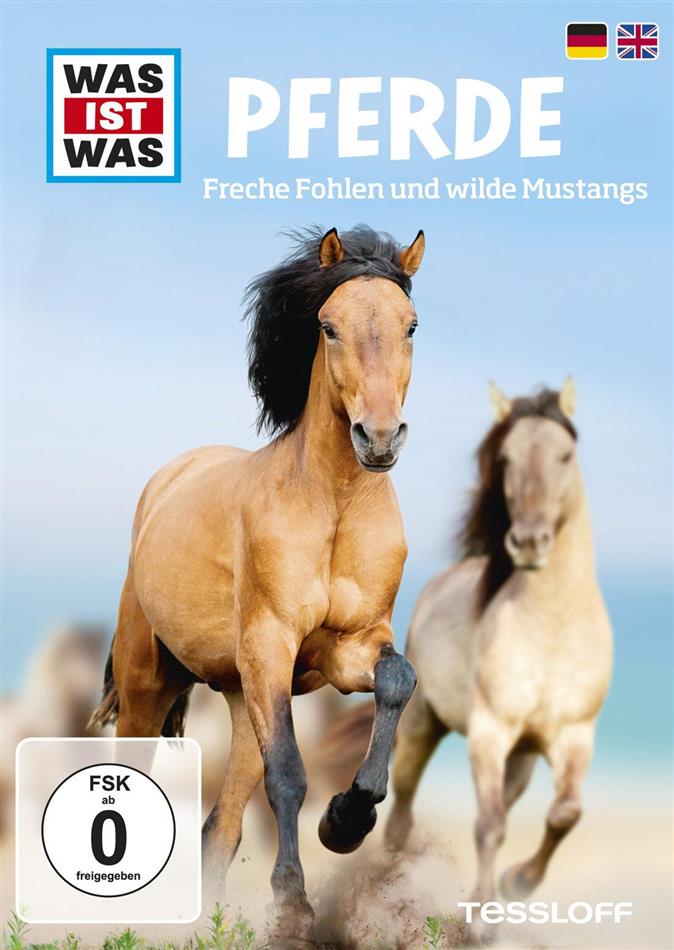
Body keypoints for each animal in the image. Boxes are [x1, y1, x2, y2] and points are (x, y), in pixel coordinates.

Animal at [90, 225, 424, 943]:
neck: (333, 505)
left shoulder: (349, 648)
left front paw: (347, 821)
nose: (379, 438)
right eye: (328, 325)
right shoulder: (272, 643)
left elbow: (396, 680)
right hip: (148, 686)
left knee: (219, 828)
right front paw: (293, 905)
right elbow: (290, 775)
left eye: (411, 325)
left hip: (244, 698)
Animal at [385, 380, 613, 943]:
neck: (552, 626)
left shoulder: (573, 736)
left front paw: (516, 884)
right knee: (401, 812)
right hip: (423, 727)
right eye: (506, 459)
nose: (528, 542)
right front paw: (483, 923)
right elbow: (488, 825)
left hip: (523, 760)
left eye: (565, 455)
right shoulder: (489, 732)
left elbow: (564, 814)